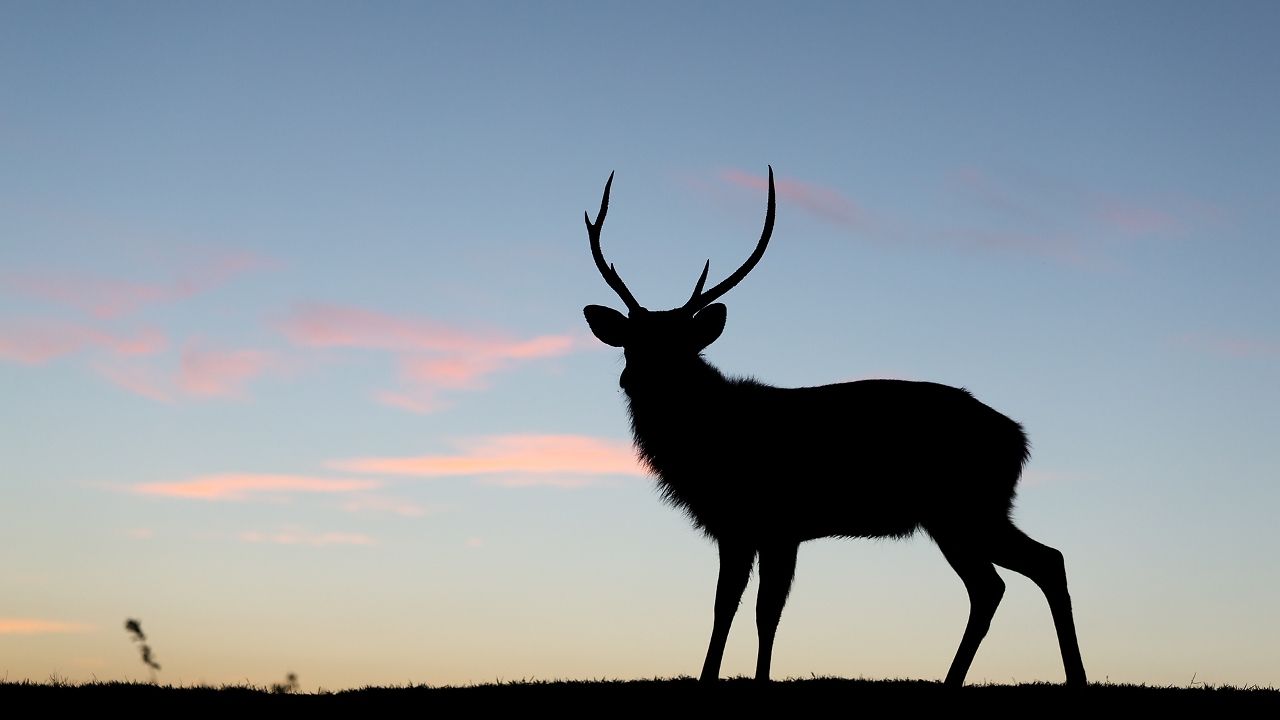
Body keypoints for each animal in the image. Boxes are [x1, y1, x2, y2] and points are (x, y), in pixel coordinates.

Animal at [582, 167, 1087, 687]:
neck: (707, 446)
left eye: (678, 347)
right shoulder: (749, 528)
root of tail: (1019, 439)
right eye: (630, 344)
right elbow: (735, 609)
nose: (630, 379)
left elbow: (756, 611)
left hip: (965, 507)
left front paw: (747, 681)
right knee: (1019, 574)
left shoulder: (771, 522)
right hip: (967, 513)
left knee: (1020, 572)